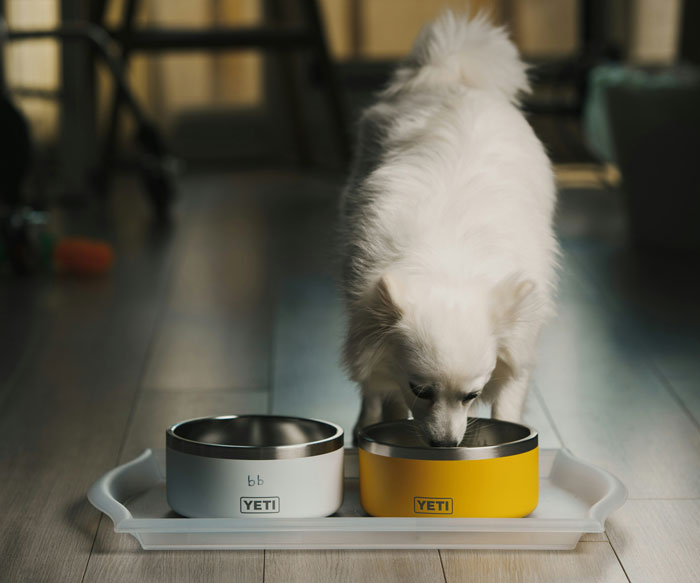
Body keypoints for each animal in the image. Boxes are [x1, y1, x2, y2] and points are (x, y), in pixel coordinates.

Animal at [338, 10, 556, 448]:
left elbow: (508, 402)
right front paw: (373, 425)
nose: (446, 444)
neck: (450, 264)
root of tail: (450, 78)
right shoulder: (371, 332)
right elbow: (379, 392)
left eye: (472, 395)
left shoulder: (518, 346)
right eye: (421, 390)